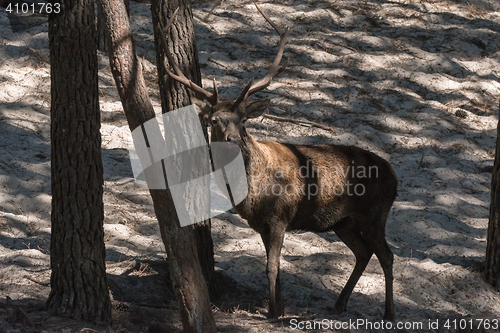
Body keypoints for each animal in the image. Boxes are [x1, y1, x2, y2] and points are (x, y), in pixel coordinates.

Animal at [158, 1, 396, 320]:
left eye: (243, 120)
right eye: (214, 119)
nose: (233, 139)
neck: (252, 190)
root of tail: (395, 178)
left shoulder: (280, 216)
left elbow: (271, 266)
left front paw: (272, 312)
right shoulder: (261, 223)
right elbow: (276, 266)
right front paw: (280, 307)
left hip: (374, 214)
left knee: (387, 255)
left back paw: (389, 312)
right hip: (343, 221)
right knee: (363, 252)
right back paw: (340, 303)